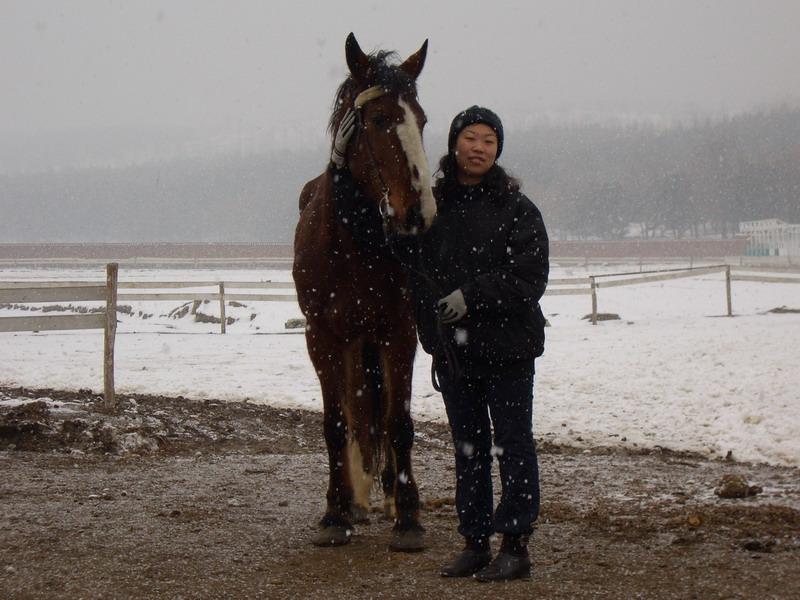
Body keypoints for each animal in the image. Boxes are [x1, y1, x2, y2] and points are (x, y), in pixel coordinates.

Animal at [290, 31, 434, 548]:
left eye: (422, 120)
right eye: (378, 120)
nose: (419, 213)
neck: (354, 245)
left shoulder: (400, 333)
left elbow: (399, 422)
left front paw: (408, 515)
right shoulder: (322, 336)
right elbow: (336, 423)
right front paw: (335, 512)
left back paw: (388, 494)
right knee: (356, 412)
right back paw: (355, 497)